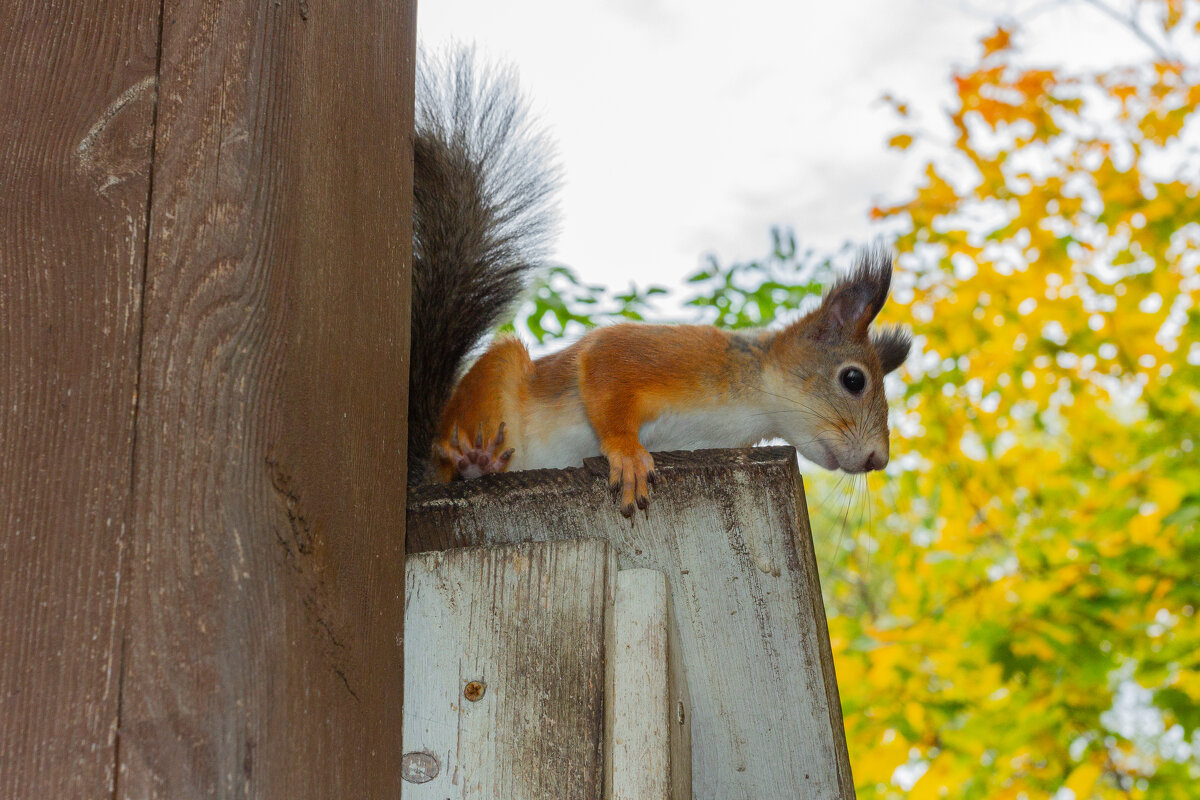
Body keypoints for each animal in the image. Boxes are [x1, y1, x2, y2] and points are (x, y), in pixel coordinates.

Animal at [408, 48, 912, 520]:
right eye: (853, 379)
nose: (877, 459)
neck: (753, 403)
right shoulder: (667, 354)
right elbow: (604, 372)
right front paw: (628, 455)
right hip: (490, 391)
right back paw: (475, 464)